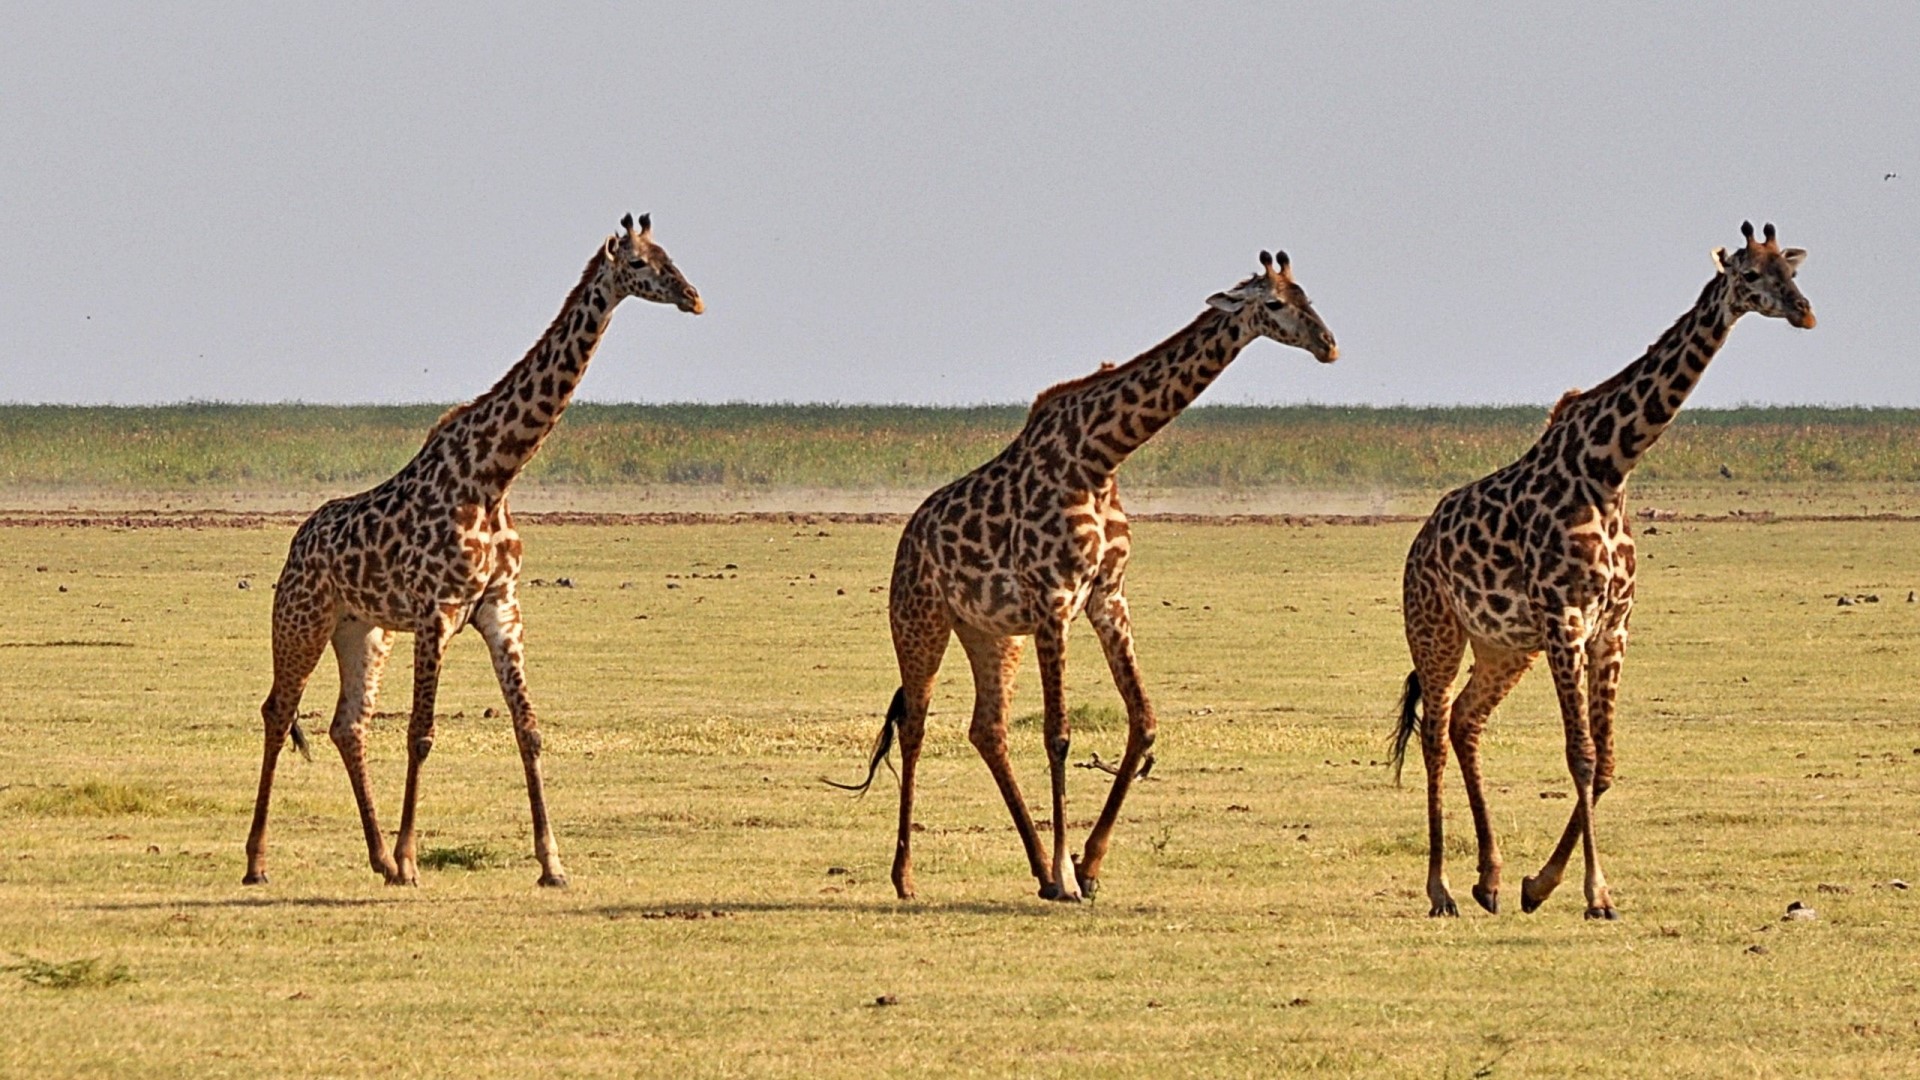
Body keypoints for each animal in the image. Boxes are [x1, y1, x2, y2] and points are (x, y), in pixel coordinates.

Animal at [243, 213, 703, 888]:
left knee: (347, 724)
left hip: (364, 630)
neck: (494, 474)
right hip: (301, 619)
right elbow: (421, 733)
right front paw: (413, 858)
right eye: (642, 265)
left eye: (673, 255)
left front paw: (552, 864)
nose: (694, 297)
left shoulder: (500, 608)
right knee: (279, 711)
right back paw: (259, 862)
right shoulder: (437, 612)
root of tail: (298, 544)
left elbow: (528, 730)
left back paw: (378, 859)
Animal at [833, 250, 1338, 901]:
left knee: (987, 729)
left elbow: (1143, 721)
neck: (1100, 458)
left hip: (992, 633)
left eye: (1308, 296)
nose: (1328, 345)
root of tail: (908, 537)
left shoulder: (1107, 597)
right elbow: (1058, 735)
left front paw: (1087, 865)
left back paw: (1037, 869)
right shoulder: (1055, 599)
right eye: (1274, 303)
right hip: (920, 620)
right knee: (916, 728)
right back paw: (907, 876)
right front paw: (1070, 873)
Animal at [1392, 222, 1814, 919]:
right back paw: (1441, 889)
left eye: (1793, 270)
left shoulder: (1612, 626)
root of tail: (1419, 543)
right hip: (1437, 630)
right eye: (1750, 275)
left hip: (1505, 646)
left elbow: (1608, 761)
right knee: (1433, 733)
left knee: (1464, 722)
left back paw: (1489, 880)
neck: (1609, 469)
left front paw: (1539, 883)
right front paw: (1595, 894)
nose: (1805, 312)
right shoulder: (1565, 619)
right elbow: (1582, 755)